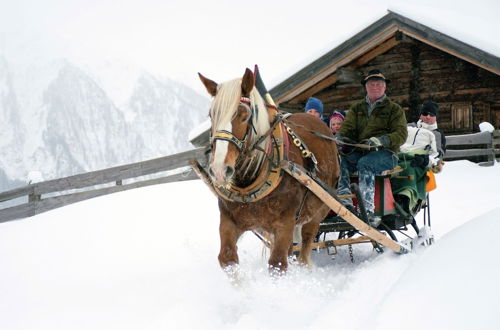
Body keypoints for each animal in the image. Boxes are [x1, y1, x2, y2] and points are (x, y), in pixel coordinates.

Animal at [196, 68, 340, 272]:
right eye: (211, 115)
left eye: (244, 116)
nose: (219, 170)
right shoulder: (229, 219)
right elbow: (227, 259)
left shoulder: (285, 221)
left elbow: (277, 264)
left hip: (319, 209)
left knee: (305, 247)